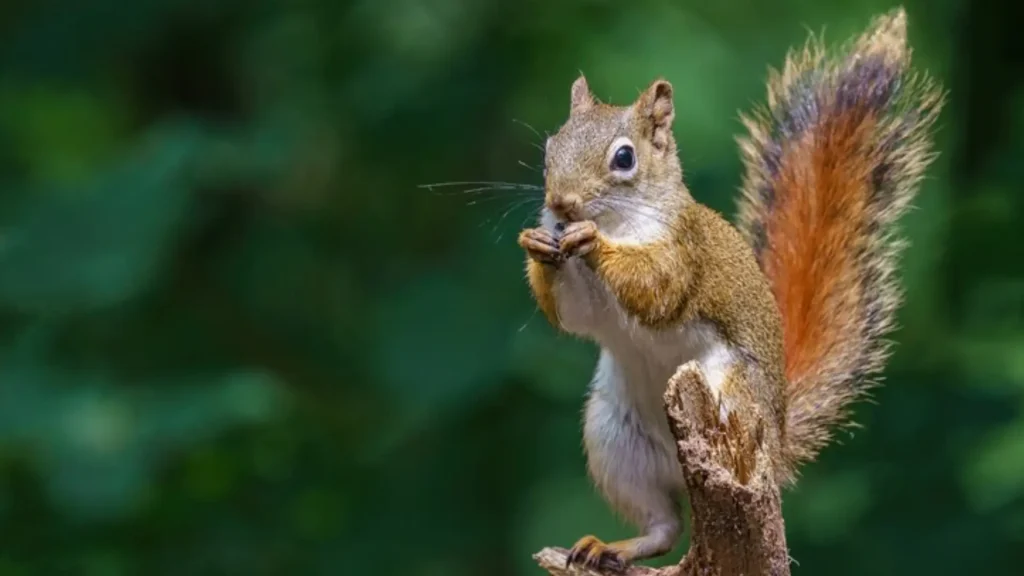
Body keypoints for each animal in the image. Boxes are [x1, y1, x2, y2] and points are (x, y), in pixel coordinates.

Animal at [517, 7, 944, 572]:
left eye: (624, 158)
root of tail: (777, 444)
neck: (619, 221)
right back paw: (610, 546)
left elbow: (657, 288)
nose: (560, 205)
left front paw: (592, 243)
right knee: (663, 526)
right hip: (616, 438)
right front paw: (537, 244)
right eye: (551, 147)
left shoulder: (684, 252)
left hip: (731, 395)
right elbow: (574, 314)